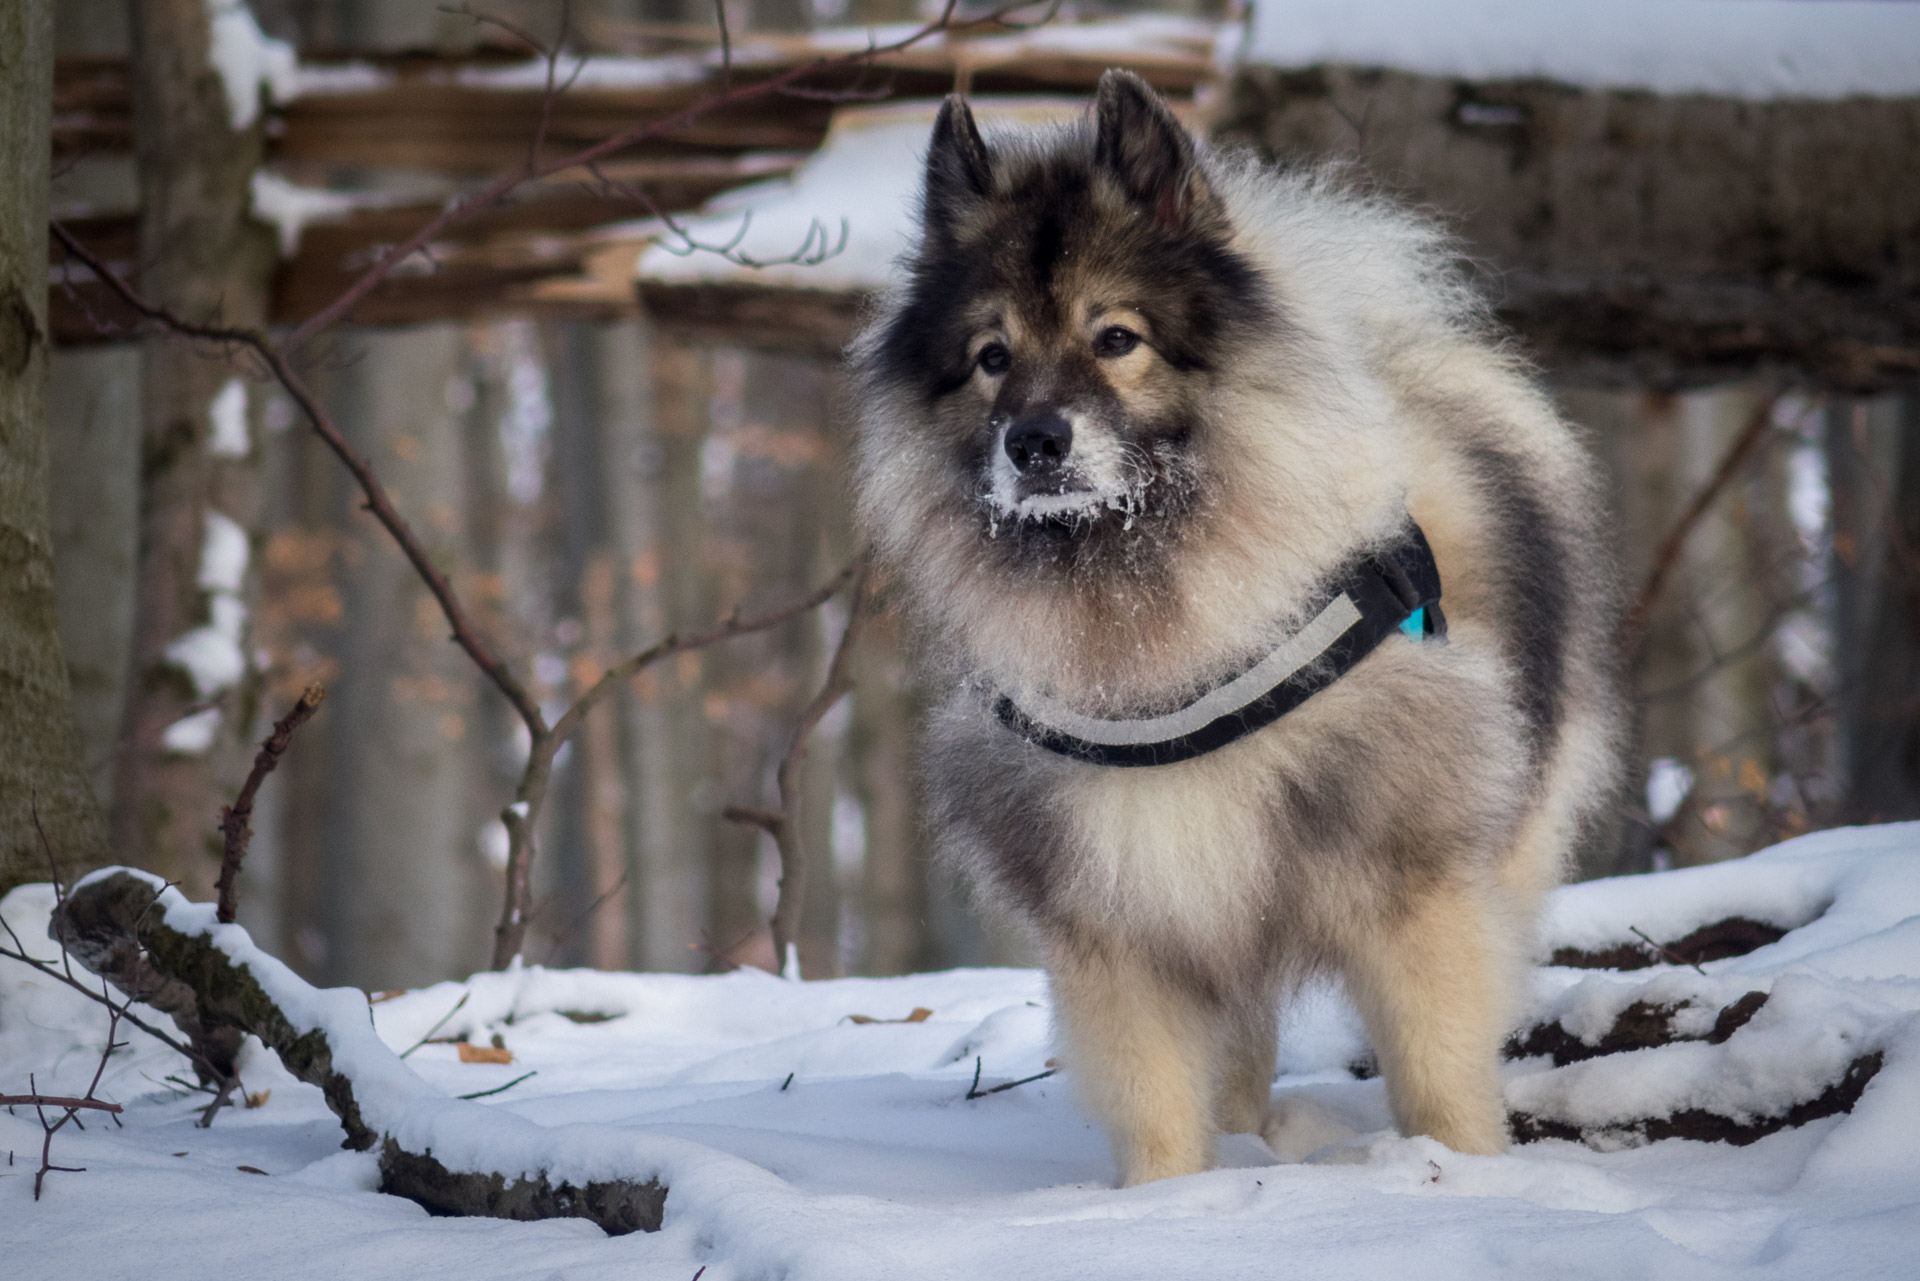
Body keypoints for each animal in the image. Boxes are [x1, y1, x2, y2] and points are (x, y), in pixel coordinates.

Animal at [848, 75, 1612, 1190]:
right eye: (991, 358)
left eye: (1116, 338)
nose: (1035, 443)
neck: (1155, 626)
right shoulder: (1121, 920)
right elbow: (1158, 1102)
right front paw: (1168, 1204)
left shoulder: (1412, 887)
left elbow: (1437, 1065)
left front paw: (1459, 1174)